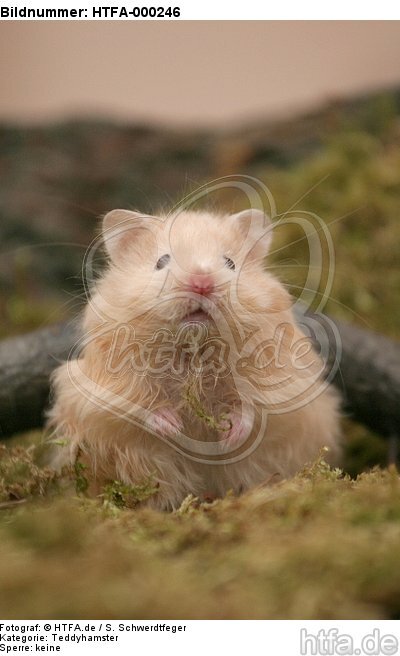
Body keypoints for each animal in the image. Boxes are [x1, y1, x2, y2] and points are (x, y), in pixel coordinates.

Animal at [48, 207, 341, 510]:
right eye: (161, 262)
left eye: (230, 263)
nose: (202, 284)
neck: (194, 350)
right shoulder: (103, 386)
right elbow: (138, 406)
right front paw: (174, 426)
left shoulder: (284, 379)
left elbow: (252, 407)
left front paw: (229, 436)